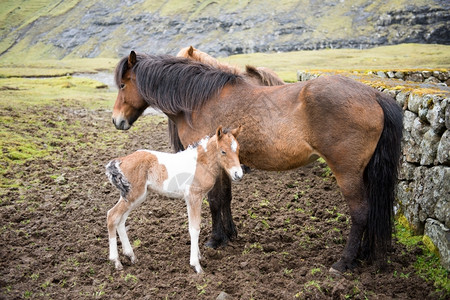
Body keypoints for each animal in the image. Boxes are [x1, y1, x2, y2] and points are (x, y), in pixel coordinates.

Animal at [106, 125, 243, 274]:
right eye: (223, 151)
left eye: (238, 149)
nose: (238, 174)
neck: (201, 162)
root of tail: (121, 161)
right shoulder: (193, 197)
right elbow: (195, 228)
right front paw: (196, 265)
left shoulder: (193, 199)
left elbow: (193, 226)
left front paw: (198, 256)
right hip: (134, 195)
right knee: (112, 216)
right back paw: (116, 261)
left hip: (134, 197)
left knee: (120, 220)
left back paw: (130, 255)